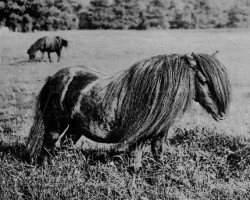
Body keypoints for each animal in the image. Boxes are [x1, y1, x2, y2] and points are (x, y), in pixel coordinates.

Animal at [24, 52, 230, 170]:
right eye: (203, 80)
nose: (222, 114)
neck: (154, 94)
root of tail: (54, 77)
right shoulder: (137, 140)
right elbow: (135, 166)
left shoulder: (159, 135)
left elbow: (158, 158)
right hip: (55, 125)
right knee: (47, 147)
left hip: (76, 128)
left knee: (65, 146)